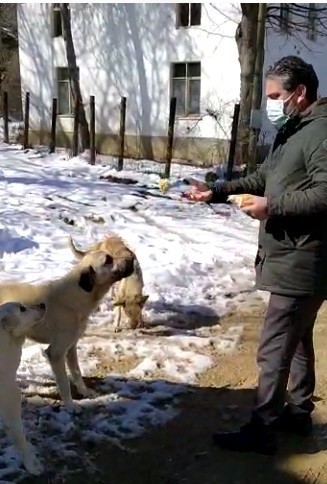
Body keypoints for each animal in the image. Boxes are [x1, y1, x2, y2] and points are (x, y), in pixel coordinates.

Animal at [0, 250, 135, 412]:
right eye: (108, 260)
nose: (132, 258)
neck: (77, 295)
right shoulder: (56, 353)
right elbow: (64, 384)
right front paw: (71, 406)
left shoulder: (71, 346)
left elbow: (77, 372)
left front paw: (84, 392)